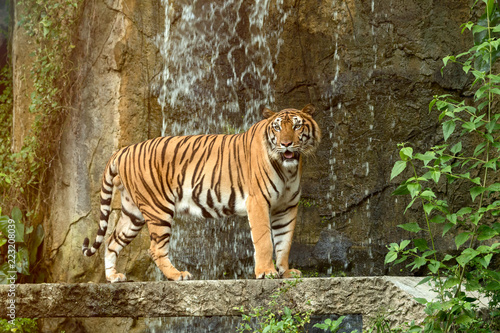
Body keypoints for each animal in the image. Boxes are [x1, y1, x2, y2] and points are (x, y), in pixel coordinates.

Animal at [82, 104, 320, 280]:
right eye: (277, 128)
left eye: (297, 127)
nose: (286, 144)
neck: (288, 169)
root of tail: (123, 150)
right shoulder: (258, 201)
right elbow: (264, 240)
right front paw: (266, 272)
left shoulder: (287, 206)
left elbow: (284, 241)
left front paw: (285, 272)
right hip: (157, 208)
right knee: (155, 248)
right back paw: (177, 275)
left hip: (134, 213)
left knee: (111, 241)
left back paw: (113, 277)